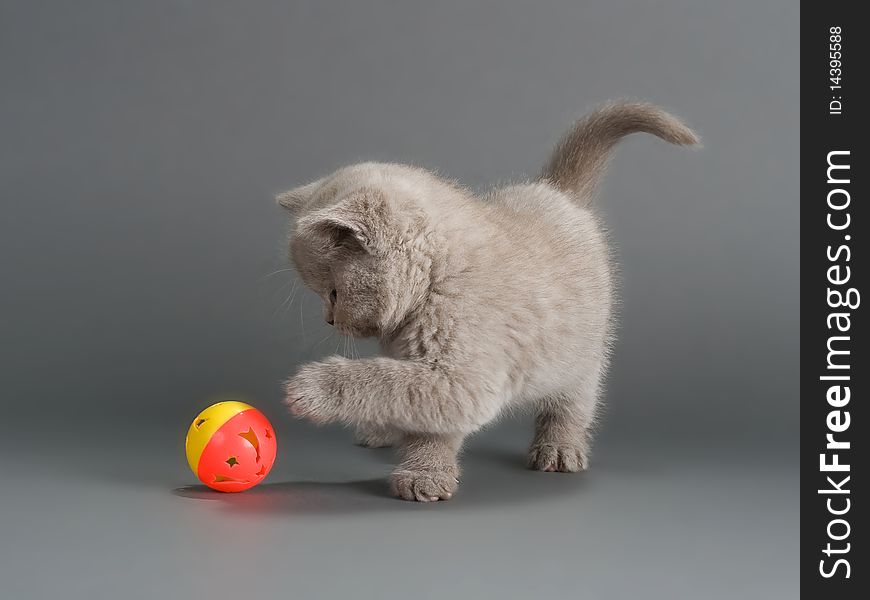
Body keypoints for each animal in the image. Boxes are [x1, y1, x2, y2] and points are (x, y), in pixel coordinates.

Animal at [276, 102, 700, 502]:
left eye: (332, 293)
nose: (329, 319)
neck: (436, 278)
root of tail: (557, 193)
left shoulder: (462, 377)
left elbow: (387, 383)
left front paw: (314, 389)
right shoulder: (426, 369)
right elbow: (406, 397)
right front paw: (425, 470)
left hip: (582, 352)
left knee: (574, 399)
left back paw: (560, 448)